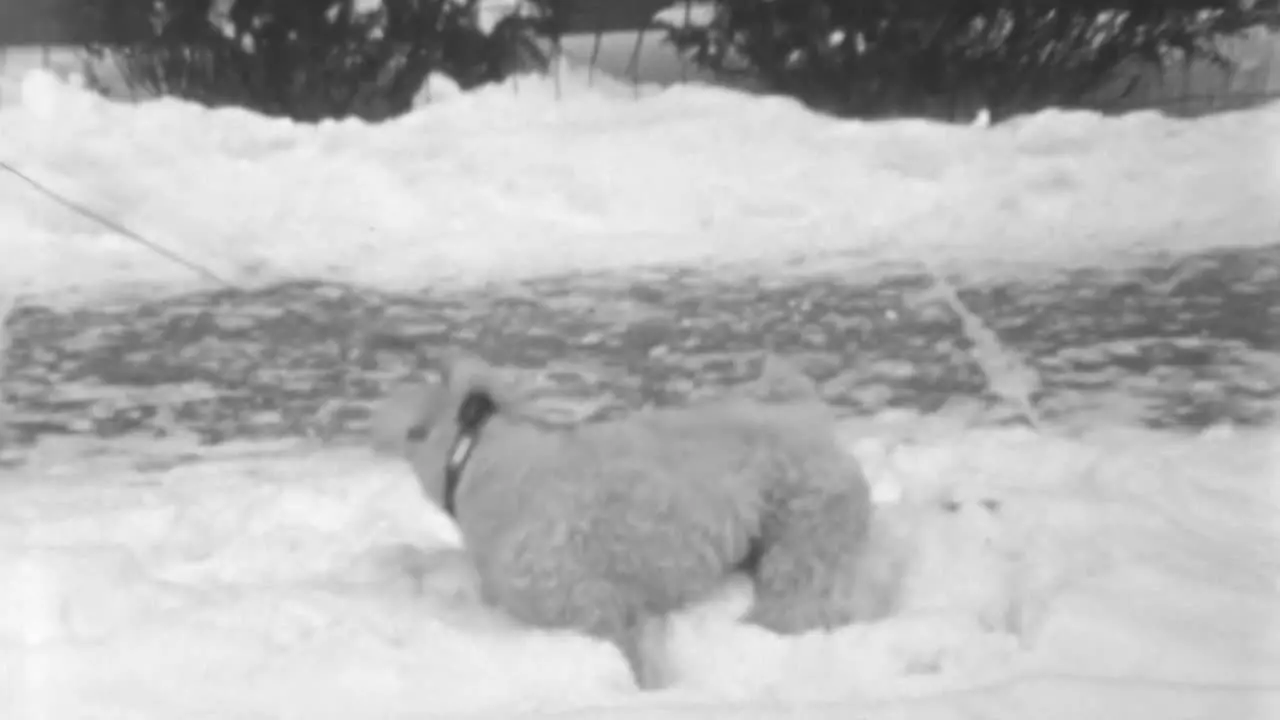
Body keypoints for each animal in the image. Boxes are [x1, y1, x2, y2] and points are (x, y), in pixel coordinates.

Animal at [371, 351, 870, 686]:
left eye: (414, 426)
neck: (484, 465)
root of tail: (808, 416)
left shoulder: (587, 604)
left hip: (803, 543)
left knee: (802, 599)